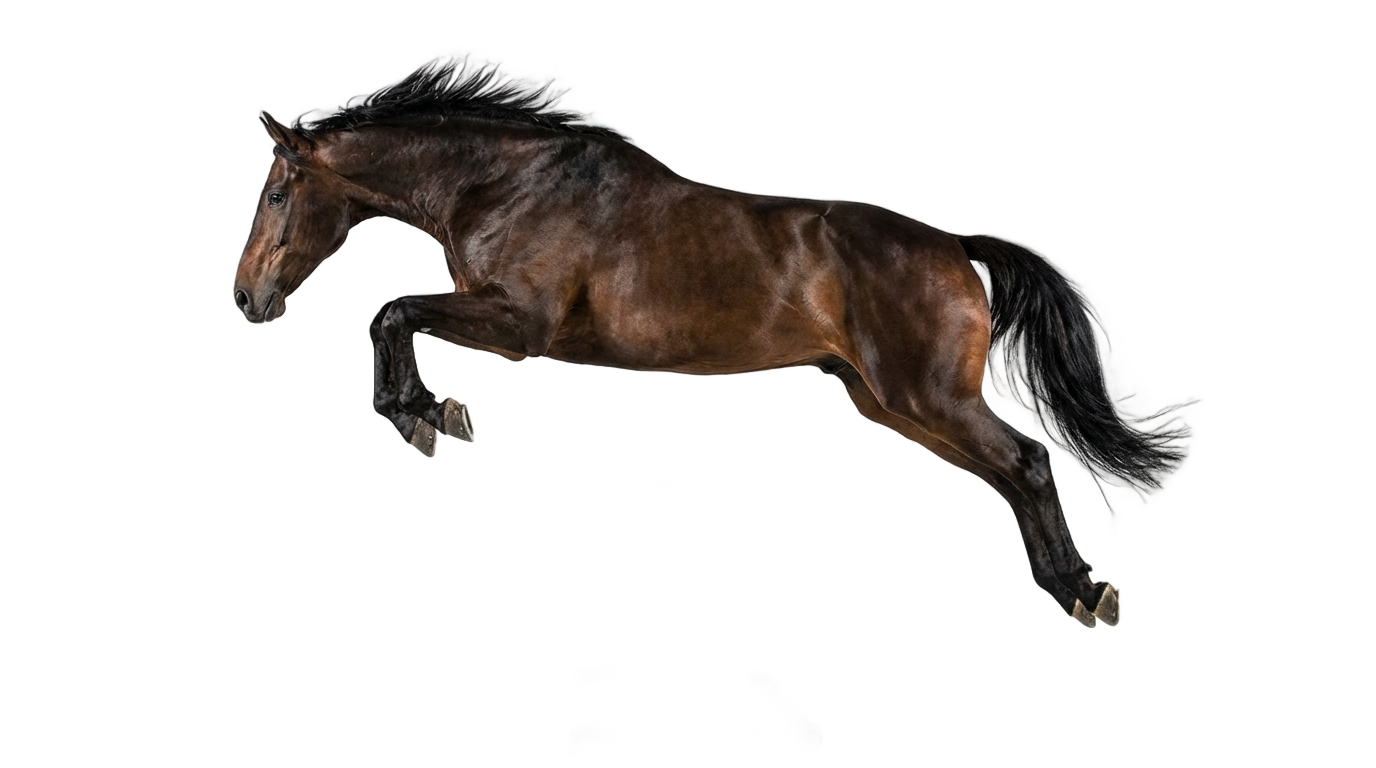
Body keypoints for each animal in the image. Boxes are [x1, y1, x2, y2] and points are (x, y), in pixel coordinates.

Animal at [231, 62, 1180, 625]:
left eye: (276, 193)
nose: (244, 298)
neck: (503, 184)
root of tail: (953, 244)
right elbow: (399, 315)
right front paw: (427, 412)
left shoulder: (520, 322)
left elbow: (394, 311)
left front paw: (426, 416)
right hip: (898, 403)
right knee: (1011, 474)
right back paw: (1071, 590)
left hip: (926, 396)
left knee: (1027, 464)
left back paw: (1086, 593)